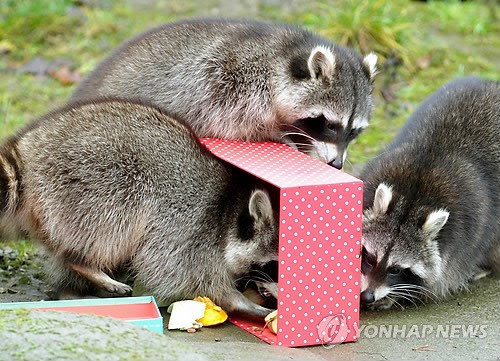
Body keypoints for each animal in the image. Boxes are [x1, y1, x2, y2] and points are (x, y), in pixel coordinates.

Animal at [360, 76, 500, 310]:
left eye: (396, 269)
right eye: (369, 258)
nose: (367, 296)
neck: (413, 198)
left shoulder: (465, 237)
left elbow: (442, 278)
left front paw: (393, 297)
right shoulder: (375, 170)